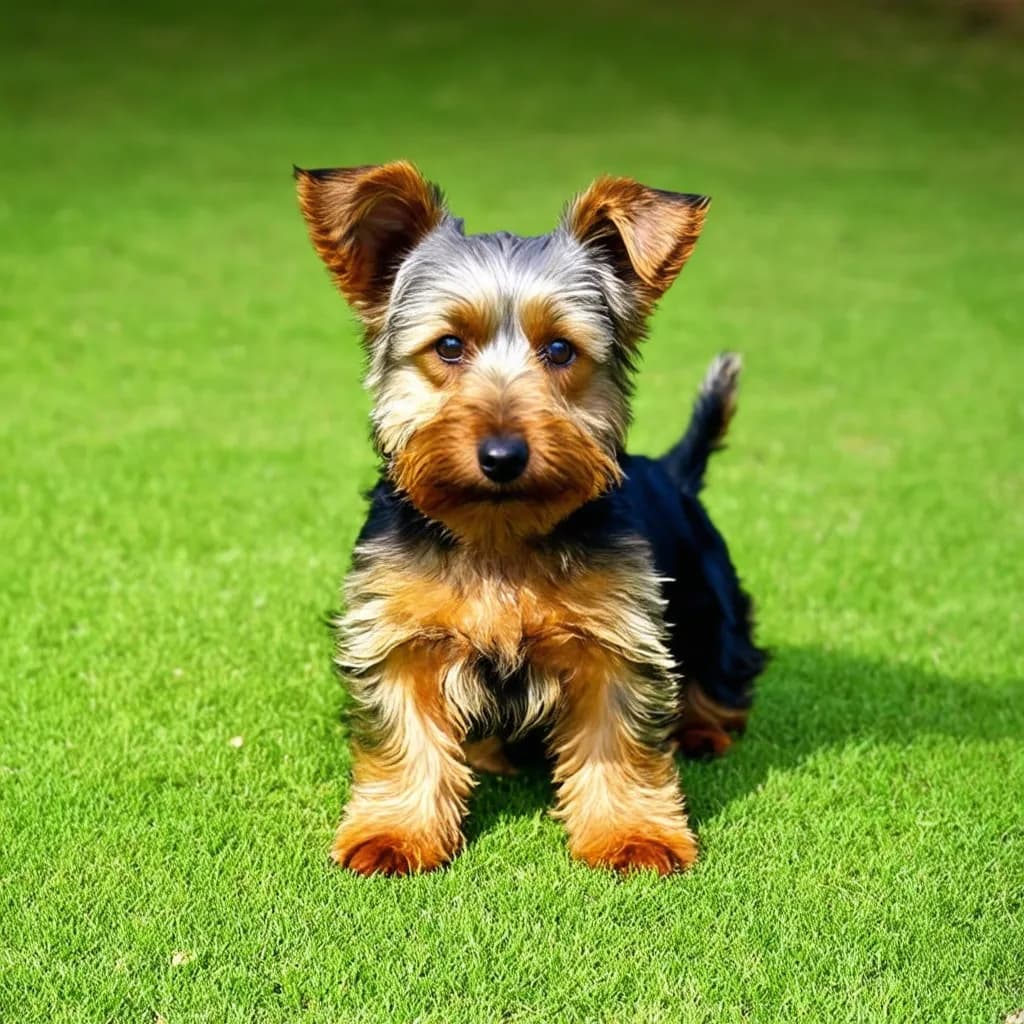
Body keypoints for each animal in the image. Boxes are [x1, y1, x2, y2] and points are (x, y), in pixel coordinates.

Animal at [292, 163, 765, 876]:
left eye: (561, 351)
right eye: (449, 346)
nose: (502, 455)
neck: (498, 532)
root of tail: (674, 470)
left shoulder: (618, 636)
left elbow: (620, 740)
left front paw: (631, 835)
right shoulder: (396, 632)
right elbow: (405, 738)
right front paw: (396, 834)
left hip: (710, 600)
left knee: (719, 667)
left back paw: (704, 729)